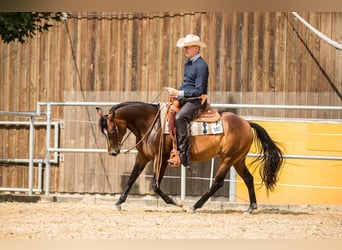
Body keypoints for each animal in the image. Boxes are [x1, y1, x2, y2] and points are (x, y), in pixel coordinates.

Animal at [95, 101, 284, 213]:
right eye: (103, 131)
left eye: (111, 130)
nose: (113, 152)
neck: (151, 124)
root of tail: (245, 123)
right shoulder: (143, 157)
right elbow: (131, 179)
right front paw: (118, 202)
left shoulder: (161, 158)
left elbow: (155, 185)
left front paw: (175, 202)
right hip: (238, 159)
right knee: (248, 178)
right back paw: (251, 207)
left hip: (228, 158)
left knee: (218, 182)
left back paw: (194, 206)